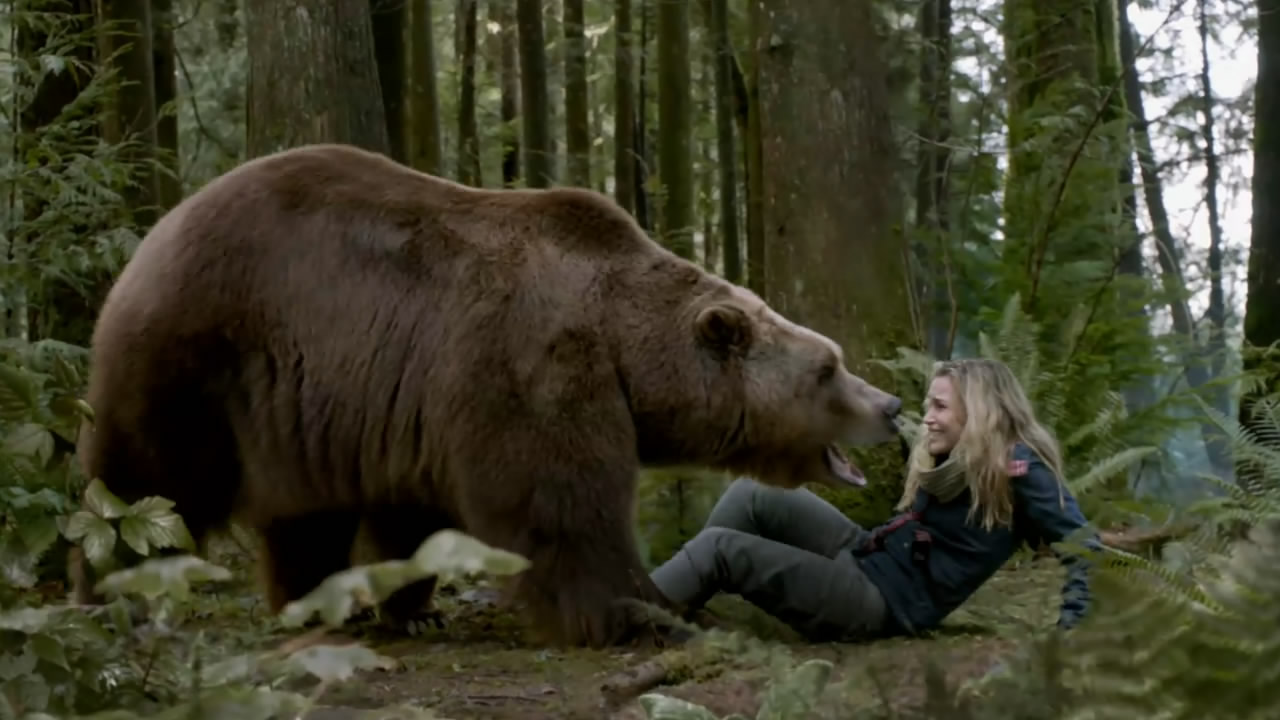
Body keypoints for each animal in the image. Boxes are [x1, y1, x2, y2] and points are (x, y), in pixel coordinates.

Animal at [71, 143, 904, 648]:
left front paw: (414, 608)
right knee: (144, 482)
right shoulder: (531, 364)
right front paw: (642, 612)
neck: (624, 345)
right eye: (828, 368)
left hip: (297, 403)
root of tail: (156, 228)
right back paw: (113, 594)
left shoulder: (413, 405)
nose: (890, 406)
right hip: (194, 354)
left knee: (306, 517)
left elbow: (412, 516)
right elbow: (560, 506)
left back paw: (322, 603)